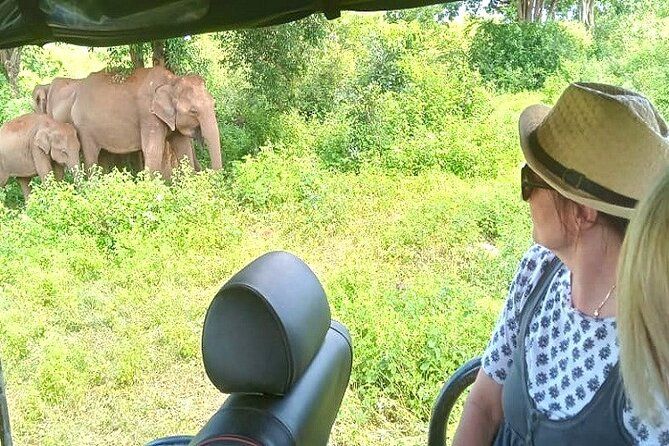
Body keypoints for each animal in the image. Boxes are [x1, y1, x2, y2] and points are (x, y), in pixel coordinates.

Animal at [71, 66, 222, 178]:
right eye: (193, 111)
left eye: (214, 103)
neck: (172, 81)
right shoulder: (148, 115)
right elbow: (153, 150)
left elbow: (183, 148)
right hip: (83, 127)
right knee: (91, 156)